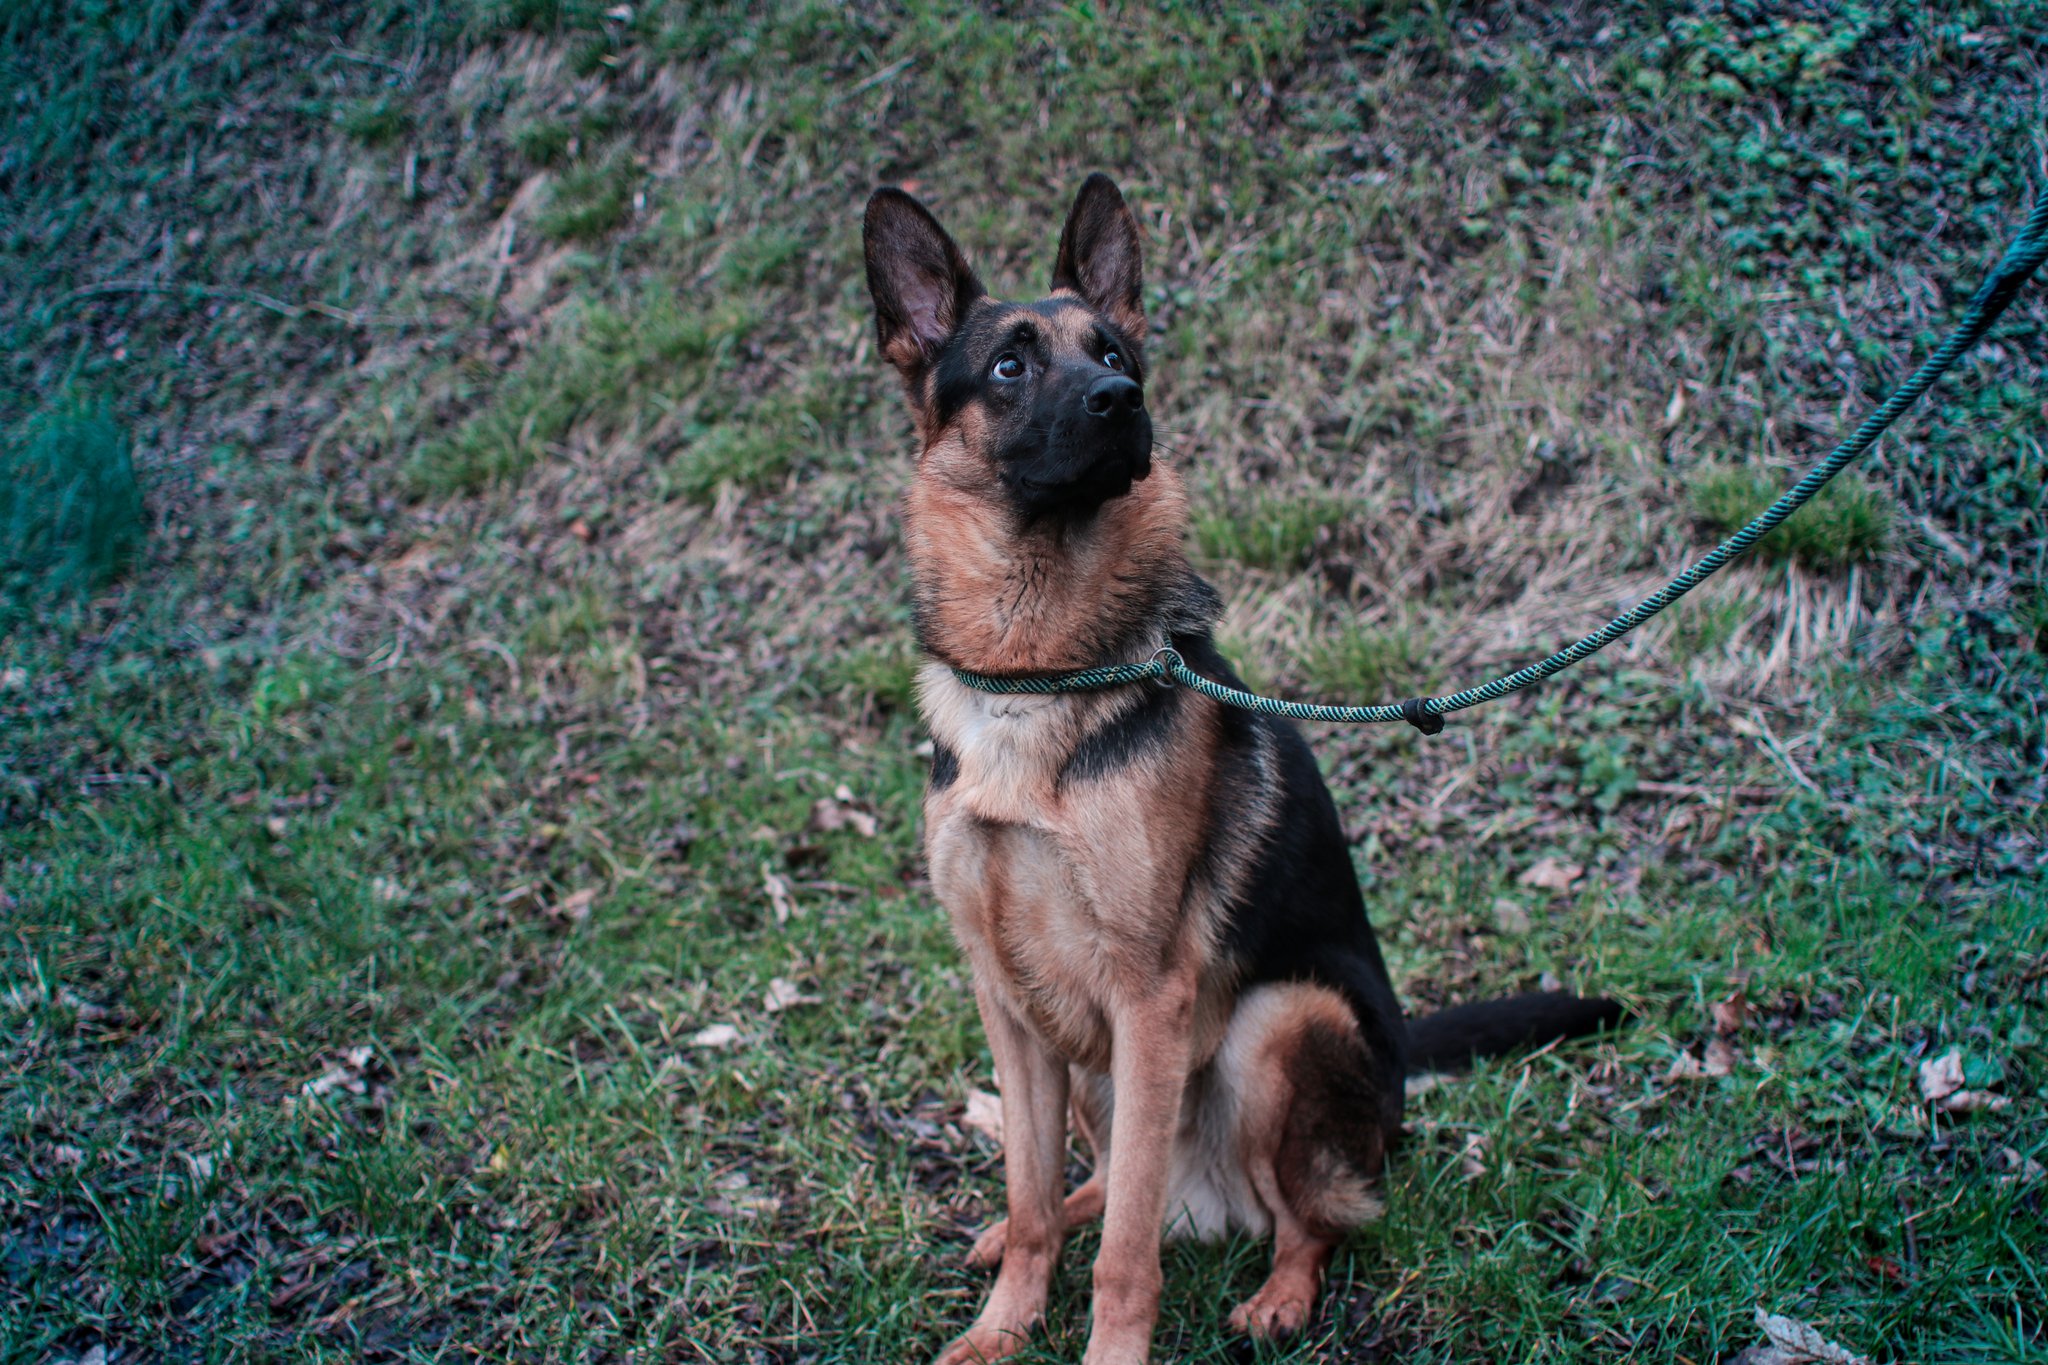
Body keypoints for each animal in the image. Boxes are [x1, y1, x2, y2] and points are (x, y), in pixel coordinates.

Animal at [862, 173, 1624, 1365]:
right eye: (1009, 366)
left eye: (1115, 352)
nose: (1119, 400)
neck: (1038, 673)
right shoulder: (1007, 1004)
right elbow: (1035, 1199)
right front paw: (1000, 1330)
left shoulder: (1150, 1000)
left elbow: (1126, 1258)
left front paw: (1107, 1354)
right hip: (1094, 1069)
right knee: (1097, 1186)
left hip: (1275, 1025)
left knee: (1313, 1216)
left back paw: (1278, 1295)